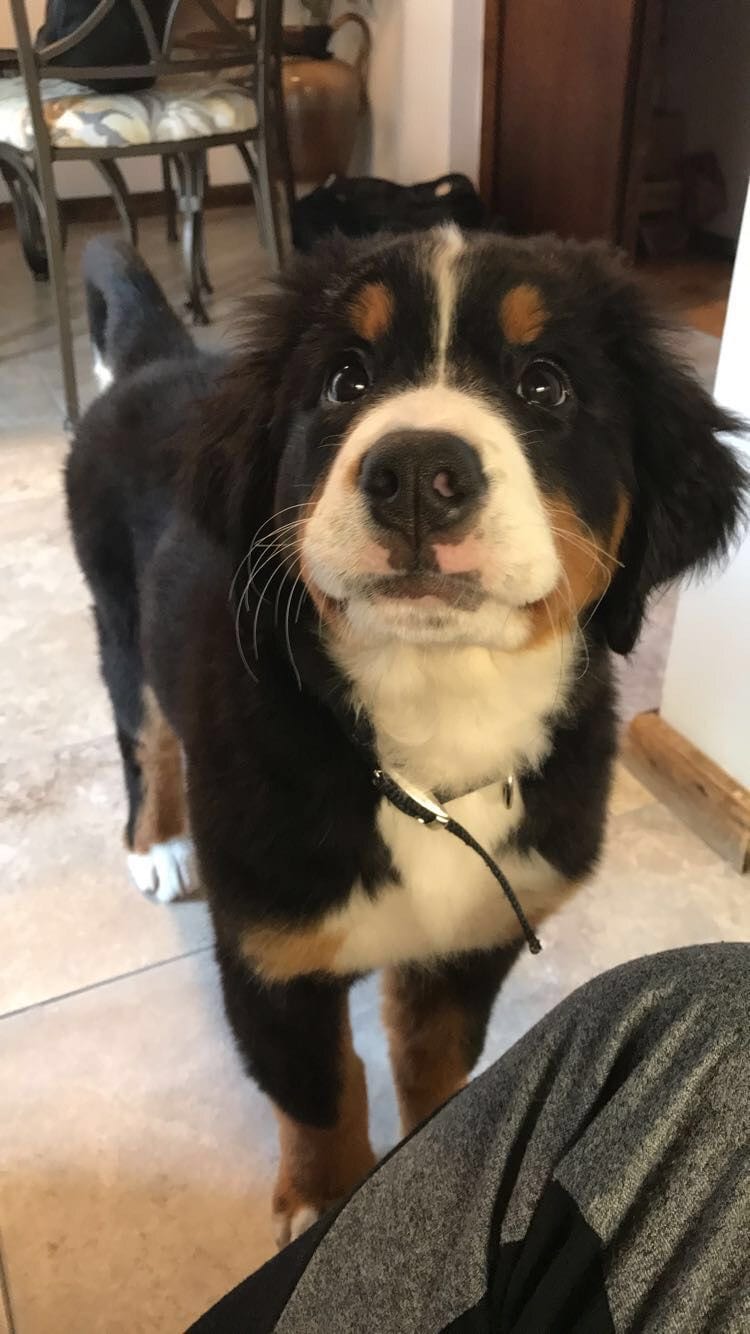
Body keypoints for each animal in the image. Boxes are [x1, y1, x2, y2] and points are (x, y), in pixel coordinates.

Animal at [67, 234, 741, 1243]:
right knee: (145, 739)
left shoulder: (471, 939)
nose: (420, 471)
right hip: (119, 621)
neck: (432, 730)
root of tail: (162, 359)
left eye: (545, 385)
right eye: (345, 379)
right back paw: (158, 844)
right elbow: (318, 1095)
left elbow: (436, 1067)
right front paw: (320, 1202)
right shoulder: (270, 954)